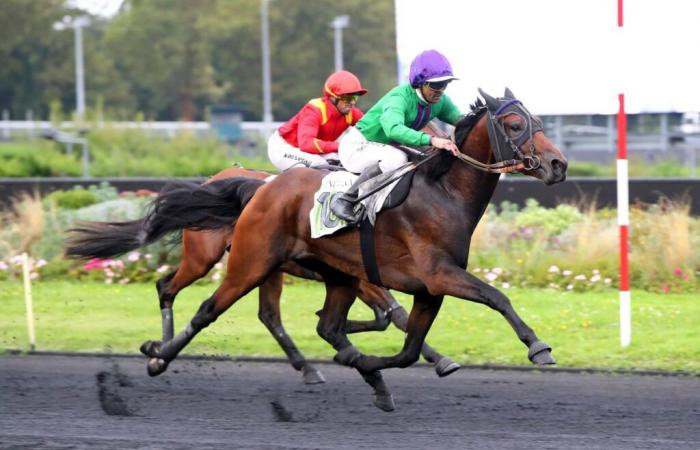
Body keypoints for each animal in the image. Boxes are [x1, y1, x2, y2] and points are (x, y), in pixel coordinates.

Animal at [65, 89, 568, 412]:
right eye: (514, 124)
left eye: (540, 122)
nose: (558, 164)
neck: (442, 192)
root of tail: (259, 189)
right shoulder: (436, 275)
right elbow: (494, 296)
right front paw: (538, 346)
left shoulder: (426, 288)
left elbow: (405, 344)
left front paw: (376, 363)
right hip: (241, 261)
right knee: (196, 303)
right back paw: (158, 354)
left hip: (327, 274)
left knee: (304, 321)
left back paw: (340, 370)